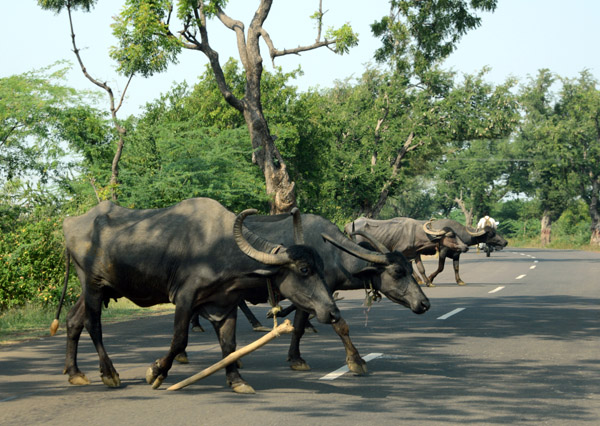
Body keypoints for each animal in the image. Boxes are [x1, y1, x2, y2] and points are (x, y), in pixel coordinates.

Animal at [52, 198, 340, 394]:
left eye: (320, 267)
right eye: (304, 269)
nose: (333, 312)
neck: (219, 248)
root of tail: (70, 223)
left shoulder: (225, 304)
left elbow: (229, 346)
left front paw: (236, 380)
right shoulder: (184, 299)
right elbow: (179, 339)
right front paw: (156, 372)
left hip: (100, 289)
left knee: (73, 320)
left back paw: (75, 373)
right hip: (92, 284)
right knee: (93, 324)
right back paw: (109, 373)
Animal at [245, 212, 432, 372]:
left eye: (410, 268)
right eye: (397, 271)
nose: (424, 303)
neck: (333, 255)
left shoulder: (309, 298)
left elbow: (298, 327)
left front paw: (296, 358)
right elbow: (340, 326)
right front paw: (356, 361)